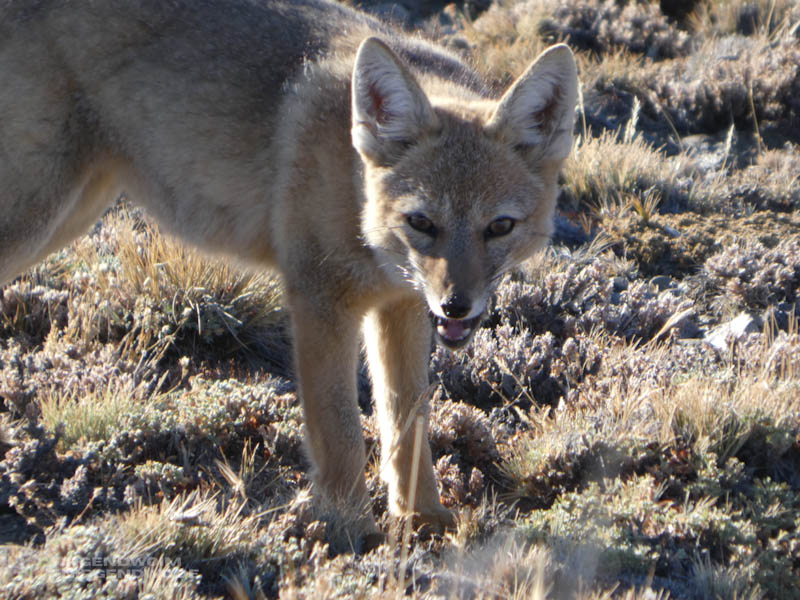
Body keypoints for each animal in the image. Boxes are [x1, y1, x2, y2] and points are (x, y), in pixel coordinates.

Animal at [0, 0, 577, 540]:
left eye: (499, 227)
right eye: (421, 222)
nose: (456, 305)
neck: (355, 190)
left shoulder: (402, 305)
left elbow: (406, 424)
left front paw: (423, 518)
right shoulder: (320, 303)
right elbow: (341, 432)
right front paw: (350, 528)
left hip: (74, 211)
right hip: (39, 218)